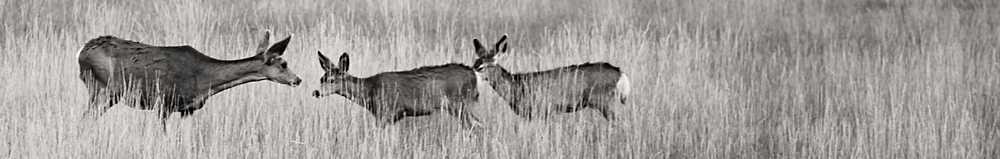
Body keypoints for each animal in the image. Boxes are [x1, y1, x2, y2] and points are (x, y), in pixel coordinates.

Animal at [78, 29, 300, 130]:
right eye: (284, 64)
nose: (298, 80)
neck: (206, 80)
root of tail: (82, 52)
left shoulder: (188, 109)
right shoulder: (164, 102)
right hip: (102, 88)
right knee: (85, 118)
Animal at [312, 52, 484, 129]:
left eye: (331, 80)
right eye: (321, 78)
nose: (316, 93)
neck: (369, 90)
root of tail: (473, 73)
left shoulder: (386, 112)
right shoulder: (393, 117)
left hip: (458, 103)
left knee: (475, 125)